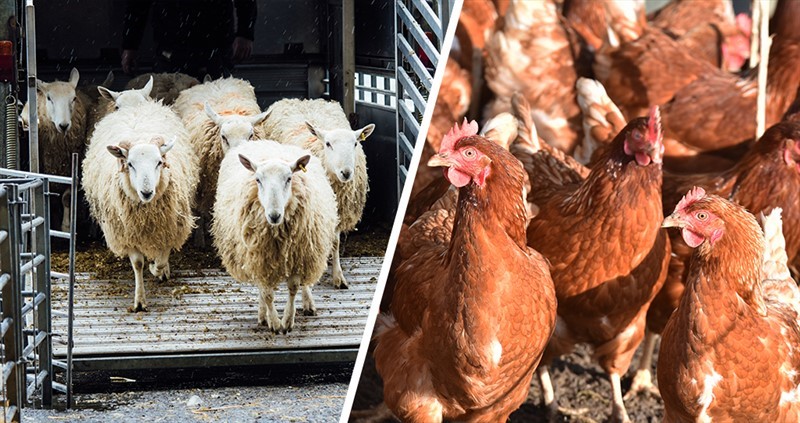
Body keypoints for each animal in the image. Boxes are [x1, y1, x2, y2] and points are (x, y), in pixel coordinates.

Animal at [82, 100, 198, 312]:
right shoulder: (128, 233)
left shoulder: (169, 228)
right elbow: (137, 264)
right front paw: (139, 301)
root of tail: (137, 105)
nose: (146, 192)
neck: (146, 212)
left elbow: (161, 260)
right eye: (130, 163)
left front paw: (157, 270)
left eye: (159, 162)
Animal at [173, 76, 269, 244]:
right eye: (223, 137)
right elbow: (200, 211)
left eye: (250, 135)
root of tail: (214, 81)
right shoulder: (201, 186)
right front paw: (199, 239)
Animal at [212, 140, 338, 333]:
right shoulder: (259, 259)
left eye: (289, 178)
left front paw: (287, 321)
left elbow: (293, 287)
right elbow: (267, 294)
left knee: (306, 281)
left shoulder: (298, 255)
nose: (274, 215)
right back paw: (262, 315)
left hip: (309, 250)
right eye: (258, 179)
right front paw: (274, 323)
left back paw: (308, 303)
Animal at [260, 98, 375, 289]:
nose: (346, 172)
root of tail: (303, 100)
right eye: (328, 144)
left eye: (355, 143)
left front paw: (338, 276)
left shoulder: (338, 212)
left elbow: (335, 242)